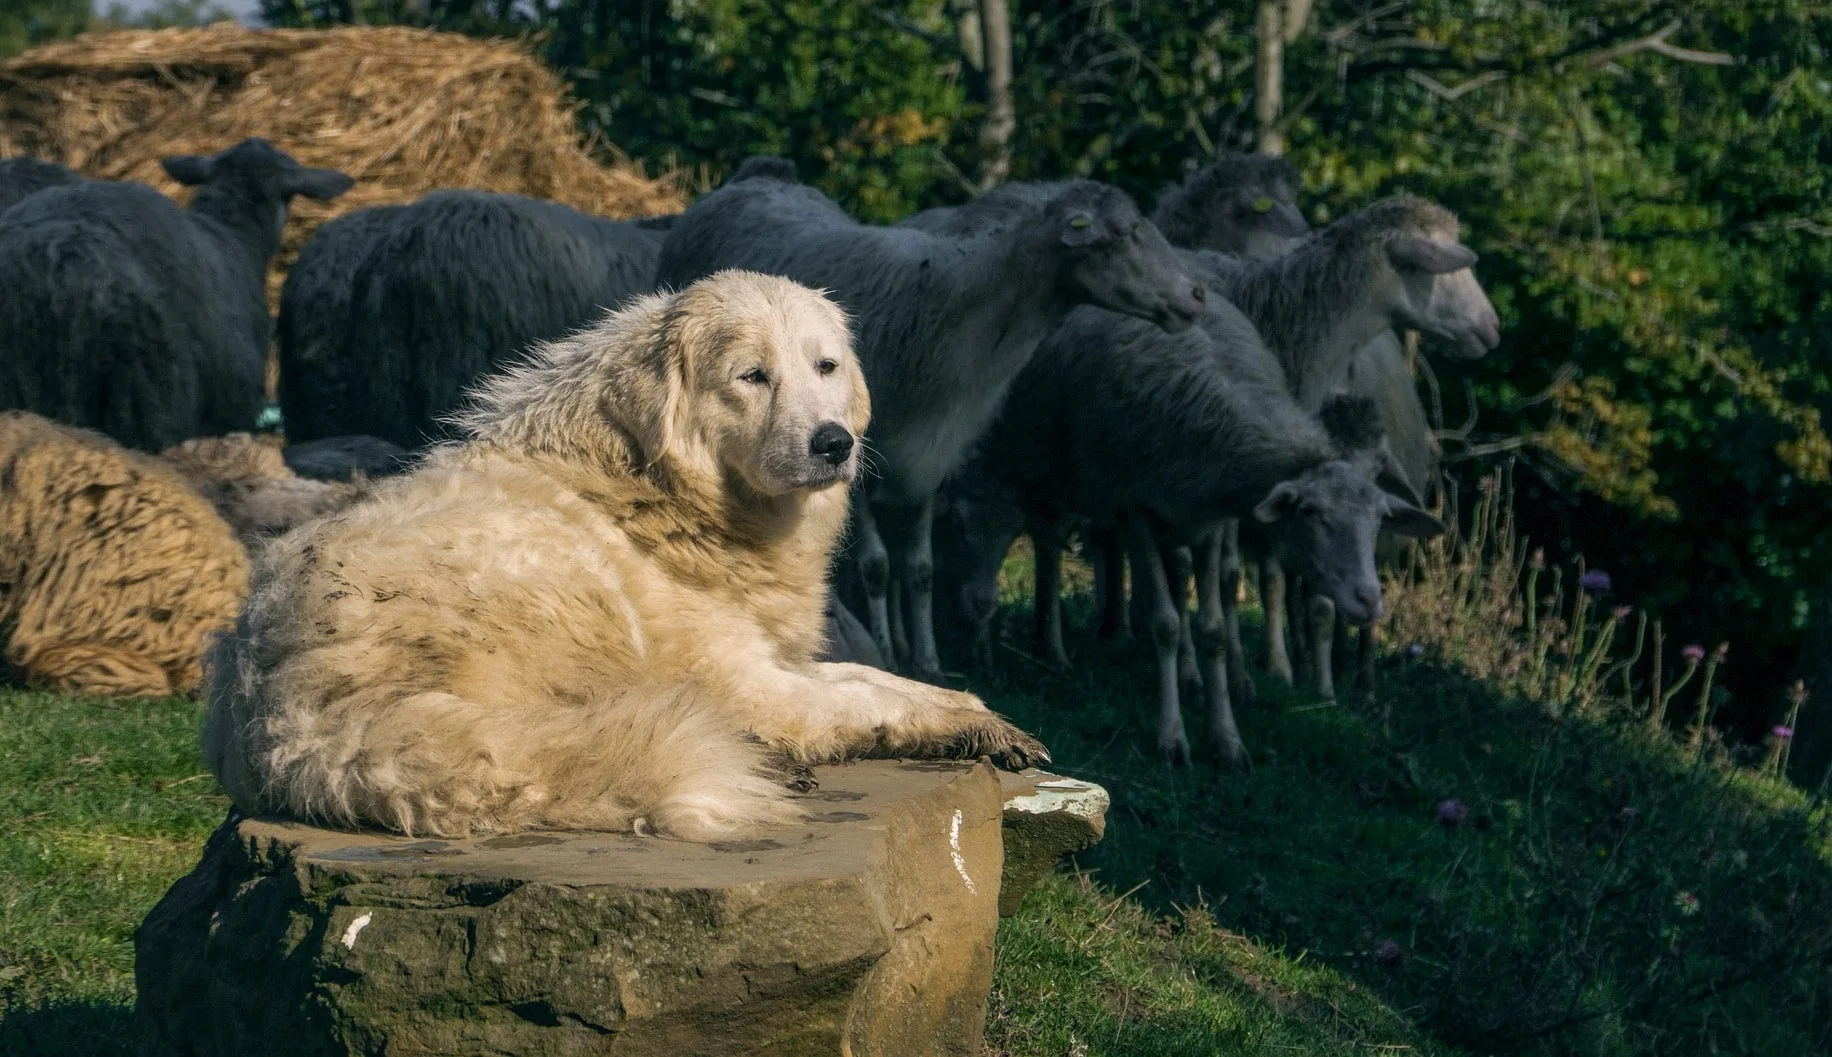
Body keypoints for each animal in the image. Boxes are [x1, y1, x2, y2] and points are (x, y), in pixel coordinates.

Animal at [654, 174, 1206, 683]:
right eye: (1117, 237)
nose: (1196, 296)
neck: (958, 310)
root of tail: (750, 181)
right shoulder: (864, 461)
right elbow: (876, 568)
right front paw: (884, 648)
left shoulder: (929, 456)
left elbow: (919, 571)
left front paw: (925, 659)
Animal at [947, 262, 1443, 764]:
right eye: (1309, 511)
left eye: (1379, 517)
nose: (1369, 599)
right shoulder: (1136, 507)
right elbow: (1166, 624)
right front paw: (1172, 738)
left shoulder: (1212, 521)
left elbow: (1213, 630)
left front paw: (1226, 737)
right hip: (1038, 459)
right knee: (1038, 544)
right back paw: (1030, 648)